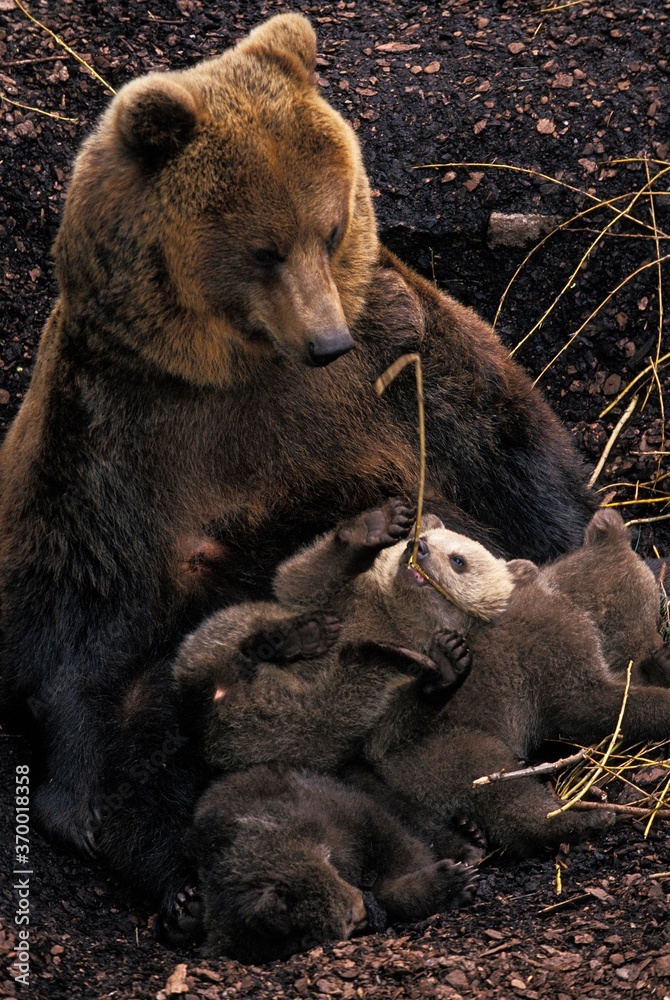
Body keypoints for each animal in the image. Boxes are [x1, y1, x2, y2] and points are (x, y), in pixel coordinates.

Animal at [0, 12, 597, 928]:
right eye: (262, 250)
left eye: (330, 227)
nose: (325, 341)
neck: (243, 370)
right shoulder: (114, 428)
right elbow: (84, 610)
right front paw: (83, 810)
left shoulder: (398, 357)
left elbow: (515, 465)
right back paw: (188, 877)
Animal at [191, 765, 477, 962]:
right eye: (305, 941)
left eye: (348, 916)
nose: (366, 916)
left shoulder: (341, 814)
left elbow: (397, 842)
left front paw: (452, 880)